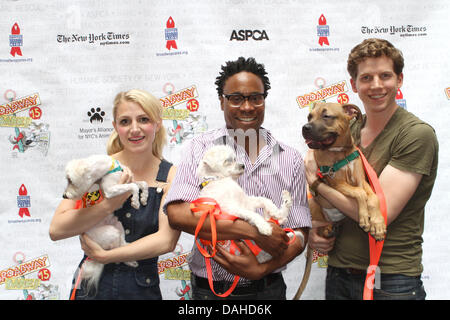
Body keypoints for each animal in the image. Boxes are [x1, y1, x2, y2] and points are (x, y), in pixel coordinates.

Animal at [63, 155, 149, 292]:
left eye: (70, 180)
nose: (64, 195)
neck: (109, 168)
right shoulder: (111, 190)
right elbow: (134, 186)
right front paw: (136, 201)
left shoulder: (125, 182)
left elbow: (142, 183)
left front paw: (144, 198)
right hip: (110, 232)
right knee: (115, 253)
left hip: (118, 225)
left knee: (121, 245)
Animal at [294, 102, 384, 300]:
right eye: (309, 116)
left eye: (327, 116)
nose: (305, 128)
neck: (340, 153)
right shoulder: (335, 182)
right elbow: (360, 194)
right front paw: (365, 217)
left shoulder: (361, 179)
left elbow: (372, 196)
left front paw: (378, 223)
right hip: (313, 203)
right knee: (318, 225)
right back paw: (328, 229)